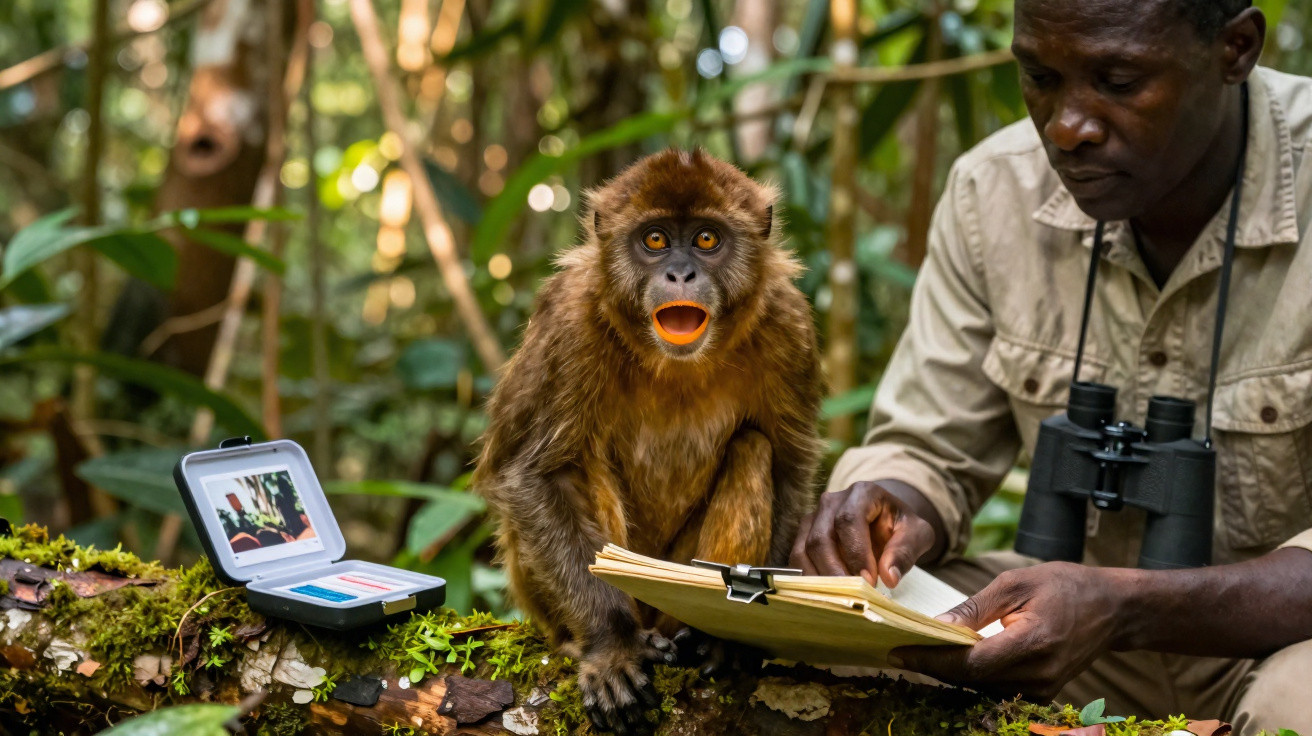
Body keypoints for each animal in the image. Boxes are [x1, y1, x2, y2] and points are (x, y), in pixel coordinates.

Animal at [473, 149, 823, 734]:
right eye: (655, 240)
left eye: (706, 239)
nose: (680, 273)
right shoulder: (570, 319)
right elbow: (529, 474)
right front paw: (612, 646)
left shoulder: (787, 322)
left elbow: (791, 466)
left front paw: (734, 635)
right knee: (577, 461)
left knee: (754, 448)